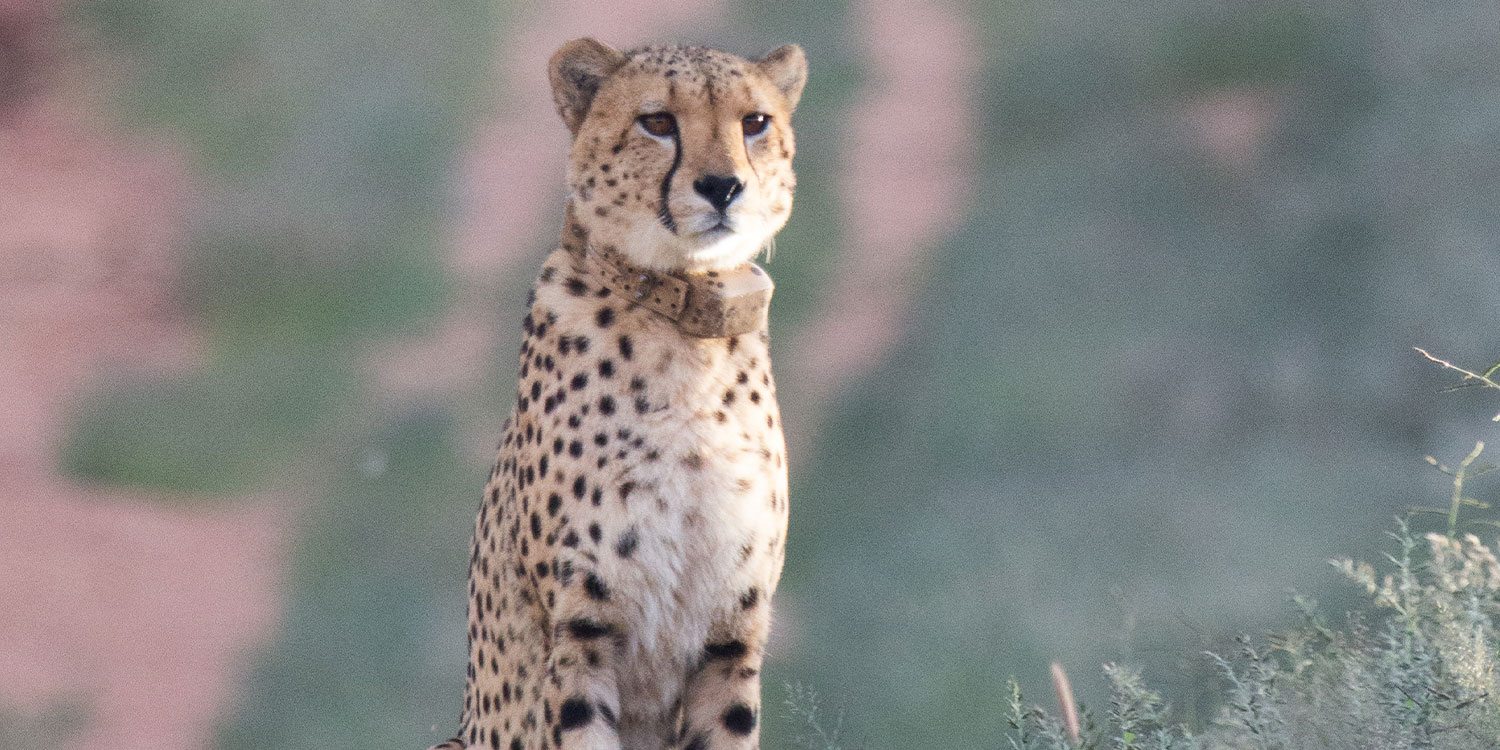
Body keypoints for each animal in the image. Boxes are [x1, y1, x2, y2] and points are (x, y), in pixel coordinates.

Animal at [427, 38, 807, 750]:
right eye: (657, 122)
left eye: (755, 122)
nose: (723, 187)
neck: (686, 336)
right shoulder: (581, 640)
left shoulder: (731, 637)